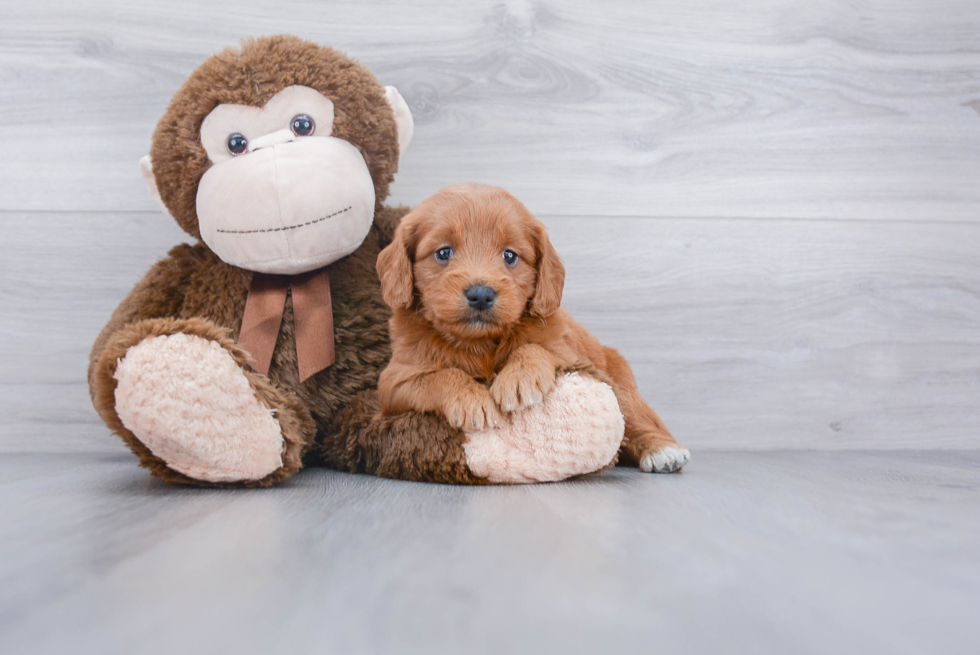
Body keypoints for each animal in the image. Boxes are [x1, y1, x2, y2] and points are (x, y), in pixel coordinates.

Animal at [376, 183, 688, 472]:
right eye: (443, 253)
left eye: (510, 256)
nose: (480, 294)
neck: (481, 342)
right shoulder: (394, 381)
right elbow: (438, 376)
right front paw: (470, 399)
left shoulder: (572, 354)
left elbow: (536, 347)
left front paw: (519, 378)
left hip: (620, 380)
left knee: (638, 417)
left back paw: (663, 451)